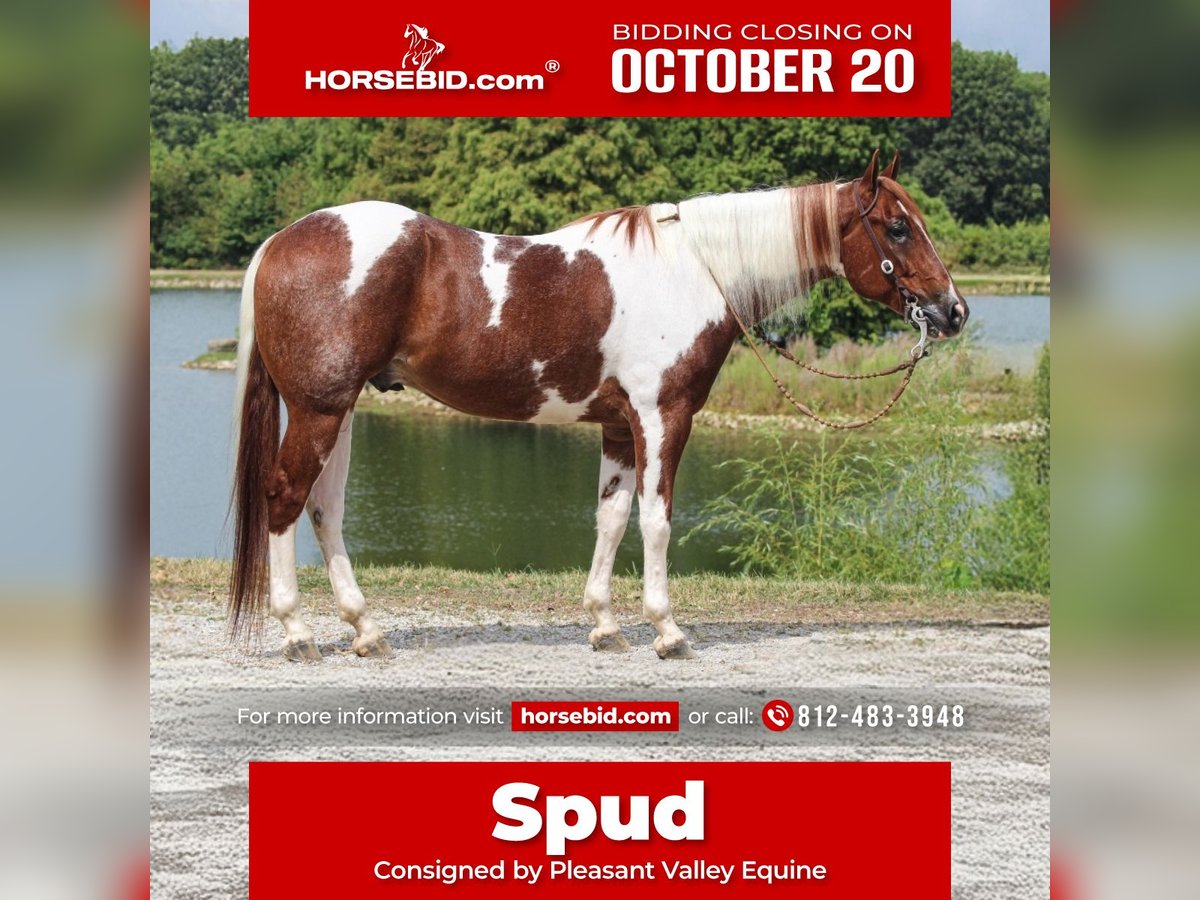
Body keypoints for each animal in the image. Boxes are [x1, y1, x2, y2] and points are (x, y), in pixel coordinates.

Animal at [228, 149, 969, 661]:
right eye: (897, 229)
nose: (953, 311)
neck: (696, 270)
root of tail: (282, 240)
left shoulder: (618, 427)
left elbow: (611, 522)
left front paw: (606, 625)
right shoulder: (663, 417)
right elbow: (657, 522)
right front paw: (668, 631)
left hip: (341, 410)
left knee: (325, 509)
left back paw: (365, 630)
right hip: (320, 409)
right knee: (286, 497)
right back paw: (298, 634)